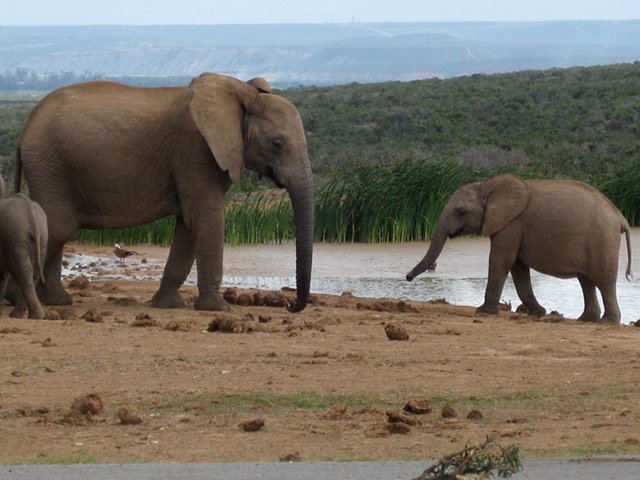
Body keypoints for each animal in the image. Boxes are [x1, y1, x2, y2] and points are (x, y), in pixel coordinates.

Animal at [0, 179, 48, 319]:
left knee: (25, 272)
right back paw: (32, 316)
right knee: (34, 274)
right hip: (42, 236)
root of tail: (32, 218)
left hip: (16, 236)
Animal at [15, 73, 314, 312]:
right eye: (277, 144)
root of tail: (23, 133)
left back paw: (55, 301)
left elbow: (188, 225)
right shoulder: (195, 149)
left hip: (49, 166)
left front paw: (168, 305)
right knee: (58, 227)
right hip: (50, 164)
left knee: (55, 229)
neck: (245, 94)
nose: (290, 307)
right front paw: (219, 309)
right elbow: (207, 219)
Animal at [406, 173, 632, 324]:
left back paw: (606, 322)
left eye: (460, 212)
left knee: (604, 282)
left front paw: (482, 312)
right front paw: (539, 313)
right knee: (586, 281)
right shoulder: (511, 226)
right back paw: (585, 320)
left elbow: (501, 260)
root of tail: (621, 218)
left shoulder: (511, 223)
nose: (407, 278)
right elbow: (518, 267)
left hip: (603, 240)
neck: (487, 185)